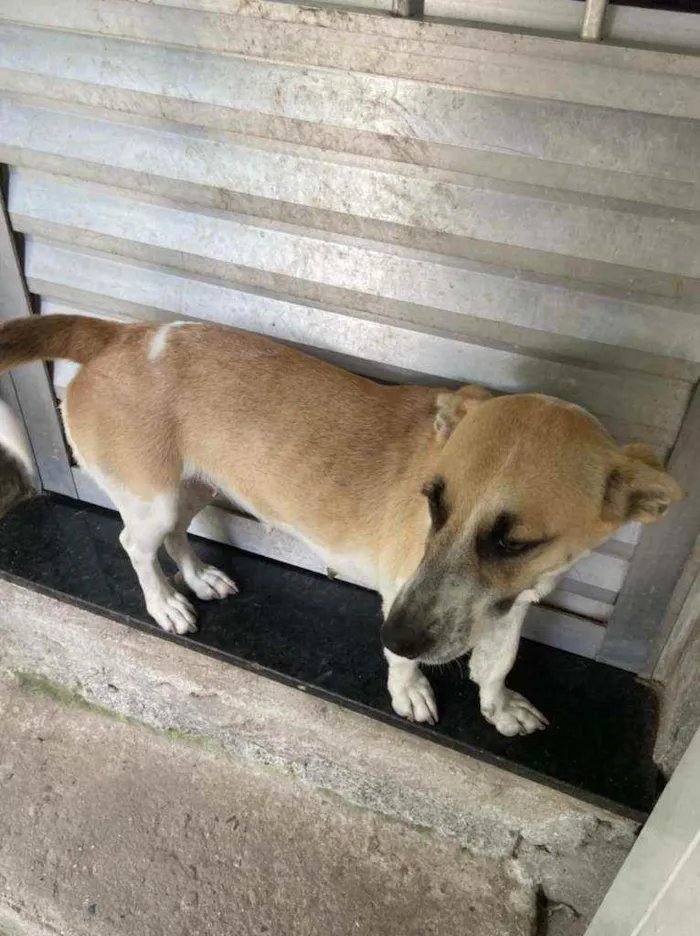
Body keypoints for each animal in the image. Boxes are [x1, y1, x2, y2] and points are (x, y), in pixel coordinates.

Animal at [0, 318, 684, 736]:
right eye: (433, 503)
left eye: (515, 542)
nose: (394, 634)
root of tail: (124, 333)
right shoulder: (405, 595)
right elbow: (414, 670)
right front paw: (410, 691)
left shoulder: (511, 608)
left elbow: (497, 665)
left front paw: (499, 706)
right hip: (154, 500)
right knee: (135, 547)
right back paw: (165, 602)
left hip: (196, 489)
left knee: (176, 539)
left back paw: (198, 580)